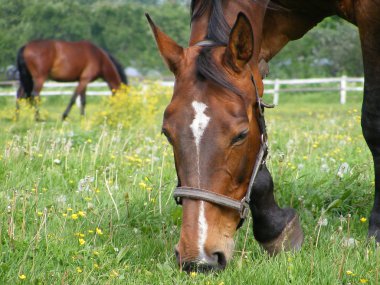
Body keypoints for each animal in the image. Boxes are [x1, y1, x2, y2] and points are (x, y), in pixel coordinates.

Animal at [148, 0, 380, 272]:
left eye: (241, 135)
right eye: (167, 133)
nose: (199, 259)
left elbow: (374, 122)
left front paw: (376, 231)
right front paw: (276, 229)